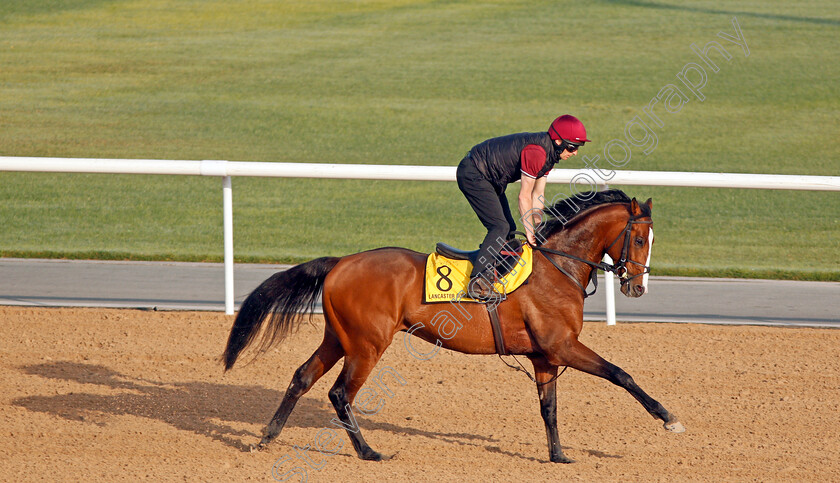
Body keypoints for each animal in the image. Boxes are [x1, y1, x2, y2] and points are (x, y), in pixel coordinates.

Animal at [221, 187, 684, 464]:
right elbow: (621, 374)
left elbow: (549, 408)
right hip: (368, 345)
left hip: (339, 337)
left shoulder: (544, 356)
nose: (637, 287)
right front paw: (668, 417)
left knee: (302, 377)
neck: (559, 268)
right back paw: (369, 452)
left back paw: (266, 437)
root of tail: (340, 262)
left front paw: (558, 456)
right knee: (340, 394)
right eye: (639, 238)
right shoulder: (562, 345)